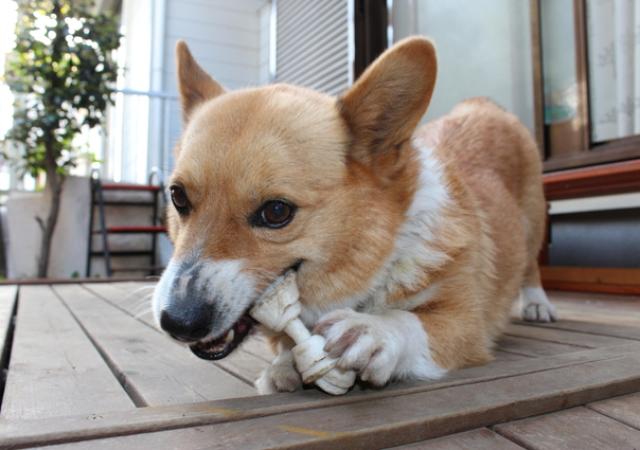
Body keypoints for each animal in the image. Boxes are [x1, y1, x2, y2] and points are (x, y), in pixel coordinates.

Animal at [150, 37, 556, 392]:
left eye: (276, 211)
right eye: (177, 196)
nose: (177, 322)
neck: (382, 255)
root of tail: (481, 104)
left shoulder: (467, 324)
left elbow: (410, 321)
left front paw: (374, 331)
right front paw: (284, 365)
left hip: (534, 222)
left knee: (532, 265)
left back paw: (538, 304)